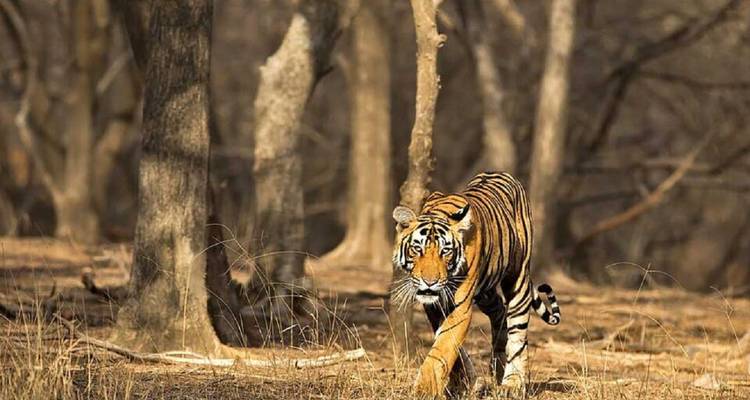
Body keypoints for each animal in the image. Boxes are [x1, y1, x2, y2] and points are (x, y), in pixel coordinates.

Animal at [391, 172, 561, 397]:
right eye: (417, 249)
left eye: (445, 251)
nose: (430, 282)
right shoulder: (435, 307)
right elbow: (450, 346)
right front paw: (464, 383)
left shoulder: (461, 307)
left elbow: (443, 346)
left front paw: (425, 389)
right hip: (486, 292)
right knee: (499, 312)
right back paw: (497, 367)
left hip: (518, 279)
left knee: (517, 332)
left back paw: (512, 383)